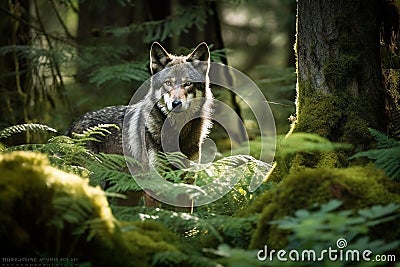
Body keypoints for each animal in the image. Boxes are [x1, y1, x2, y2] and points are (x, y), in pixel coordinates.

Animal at [67, 43, 214, 207]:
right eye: (168, 83)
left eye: (187, 83)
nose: (176, 103)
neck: (178, 134)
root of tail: (73, 126)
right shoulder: (154, 186)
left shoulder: (187, 185)